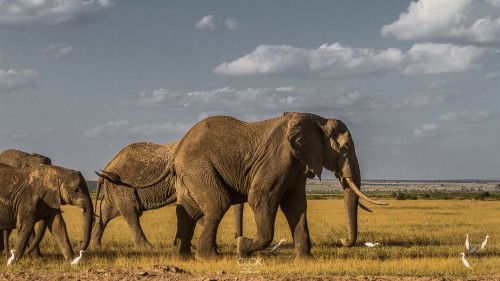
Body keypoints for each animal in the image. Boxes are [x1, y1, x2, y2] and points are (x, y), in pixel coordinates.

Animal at [94, 141, 246, 248]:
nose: (236, 238)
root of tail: (107, 166)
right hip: (122, 188)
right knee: (131, 213)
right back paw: (147, 247)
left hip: (116, 188)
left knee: (106, 212)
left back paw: (96, 245)